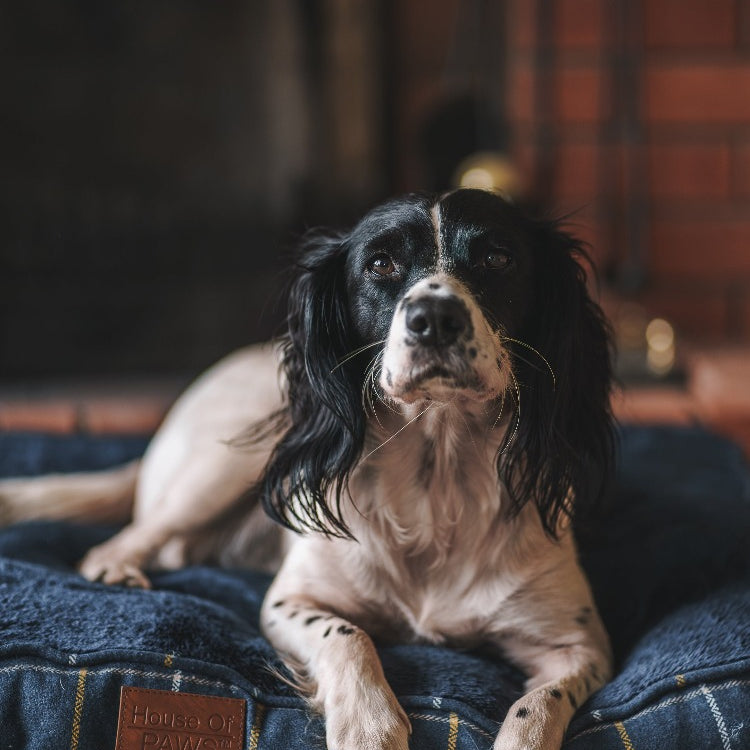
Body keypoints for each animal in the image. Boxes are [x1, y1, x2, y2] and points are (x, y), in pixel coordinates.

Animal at [0, 189, 616, 750]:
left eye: (497, 258)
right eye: (381, 264)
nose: (434, 318)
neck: (437, 474)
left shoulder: (579, 646)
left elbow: (538, 706)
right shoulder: (289, 602)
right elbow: (348, 635)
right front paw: (369, 724)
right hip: (229, 462)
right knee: (142, 530)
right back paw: (116, 565)